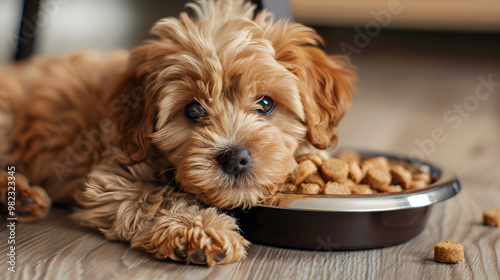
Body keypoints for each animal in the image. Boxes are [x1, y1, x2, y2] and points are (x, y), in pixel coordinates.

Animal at [0, 0, 354, 266]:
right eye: (193, 110)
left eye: (266, 103)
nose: (235, 157)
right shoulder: (111, 175)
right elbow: (154, 196)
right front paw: (199, 230)